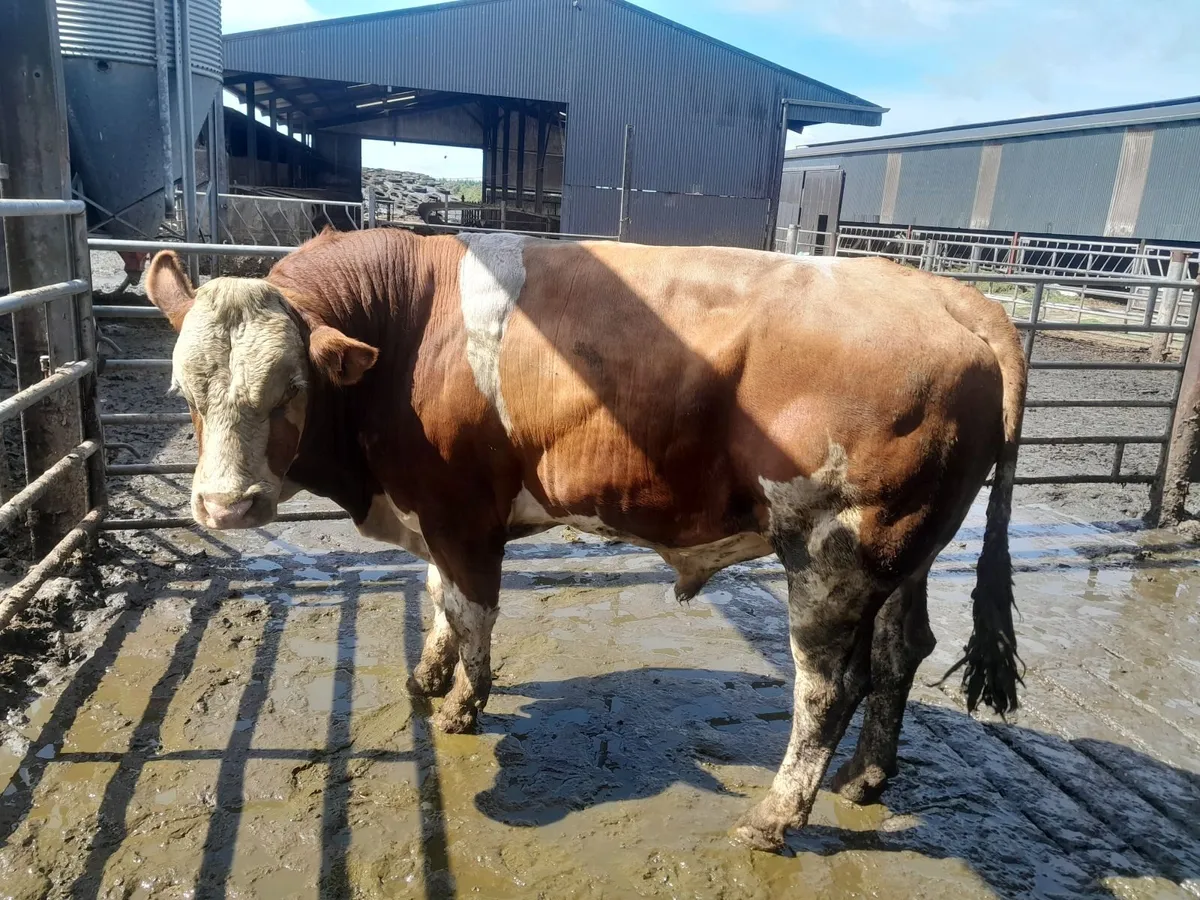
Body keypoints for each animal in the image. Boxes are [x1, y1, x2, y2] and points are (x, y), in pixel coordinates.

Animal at [144, 227, 1026, 852]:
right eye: (184, 389)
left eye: (289, 390)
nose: (224, 504)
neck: (406, 327)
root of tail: (954, 299)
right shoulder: (434, 514)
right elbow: (438, 597)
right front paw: (429, 674)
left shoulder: (463, 513)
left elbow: (471, 612)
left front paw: (461, 705)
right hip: (904, 553)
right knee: (902, 652)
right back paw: (865, 778)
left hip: (832, 548)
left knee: (828, 687)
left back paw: (776, 817)